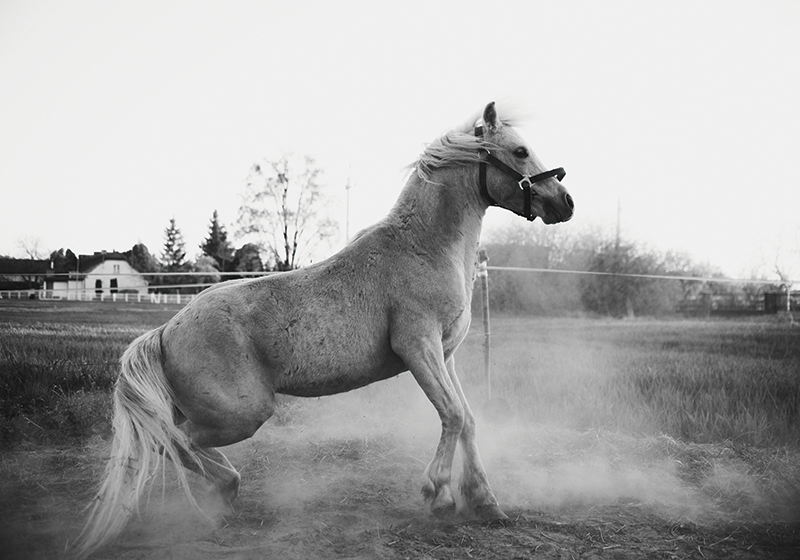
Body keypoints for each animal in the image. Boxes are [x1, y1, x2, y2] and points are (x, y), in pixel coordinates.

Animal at [73, 100, 568, 556]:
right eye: (520, 151)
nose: (566, 203)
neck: (425, 248)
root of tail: (165, 331)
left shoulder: (445, 355)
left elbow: (466, 420)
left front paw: (486, 504)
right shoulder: (418, 347)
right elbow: (454, 415)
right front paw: (438, 495)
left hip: (205, 410)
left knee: (165, 439)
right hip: (244, 413)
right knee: (177, 442)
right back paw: (226, 489)